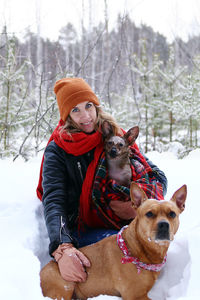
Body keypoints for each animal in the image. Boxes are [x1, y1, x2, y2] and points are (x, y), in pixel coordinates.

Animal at [39, 183, 187, 300]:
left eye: (172, 214)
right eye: (149, 214)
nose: (163, 225)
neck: (137, 249)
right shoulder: (135, 295)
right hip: (64, 287)